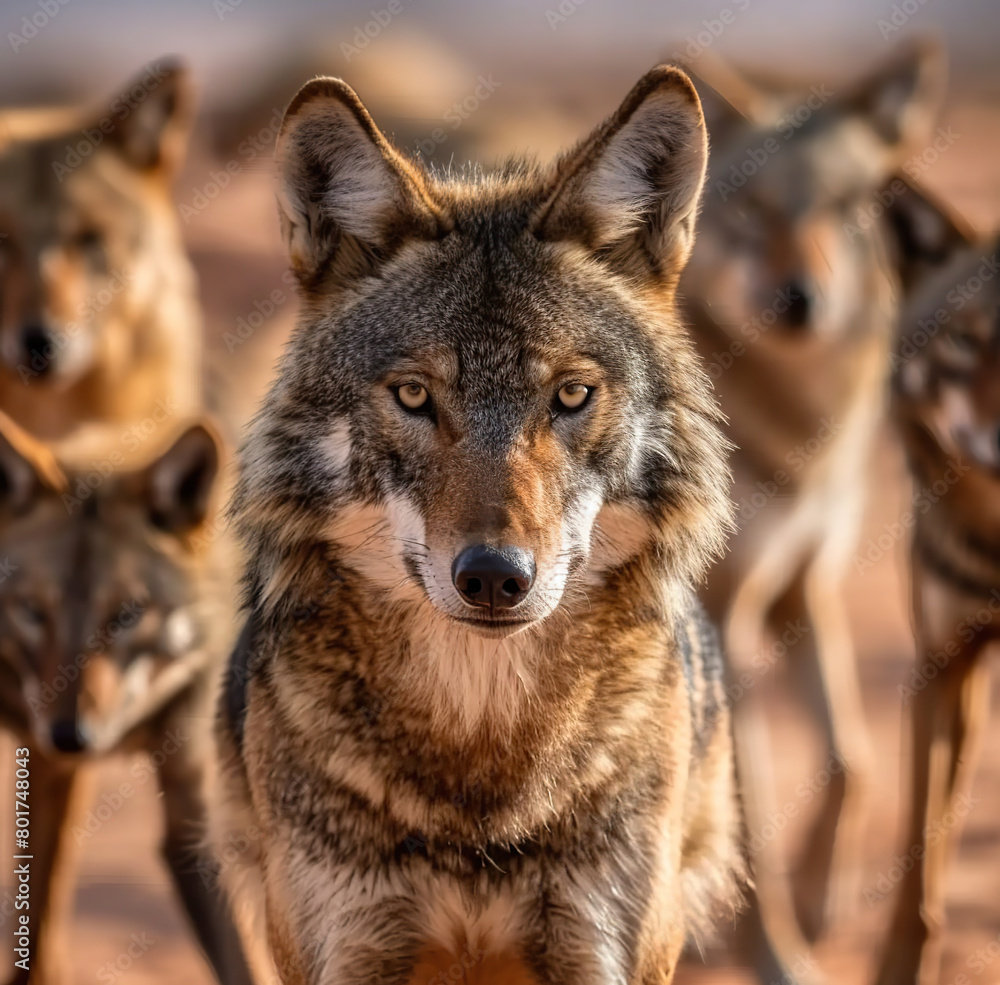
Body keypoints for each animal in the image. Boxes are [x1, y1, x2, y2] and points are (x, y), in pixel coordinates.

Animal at [213, 65, 745, 985]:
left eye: (570, 394)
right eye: (414, 395)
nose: (495, 575)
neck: (482, 774)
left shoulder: (602, 948)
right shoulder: (346, 948)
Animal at [678, 42, 947, 982]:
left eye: (841, 206)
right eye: (753, 210)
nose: (801, 301)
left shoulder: (806, 584)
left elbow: (850, 761)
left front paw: (823, 891)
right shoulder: (721, 623)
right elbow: (751, 819)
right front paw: (776, 954)